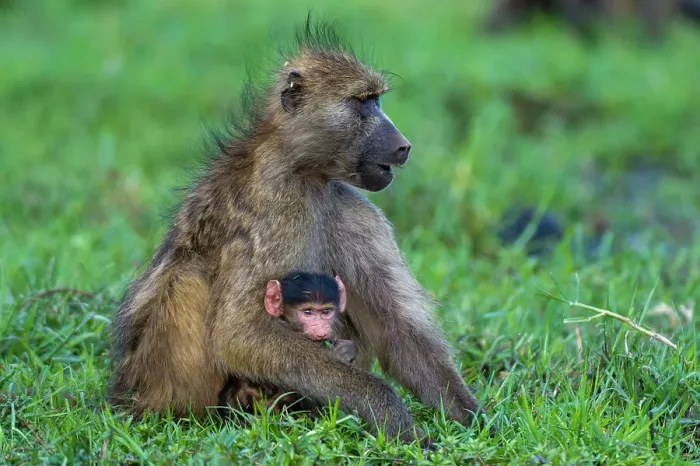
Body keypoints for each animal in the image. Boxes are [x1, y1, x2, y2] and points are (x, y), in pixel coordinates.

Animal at [109, 17, 484, 446]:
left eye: (376, 101)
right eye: (362, 102)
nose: (403, 146)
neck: (303, 172)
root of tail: (126, 395)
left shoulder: (353, 211)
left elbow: (396, 328)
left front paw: (473, 418)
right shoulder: (277, 210)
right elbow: (239, 333)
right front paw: (394, 417)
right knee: (186, 278)